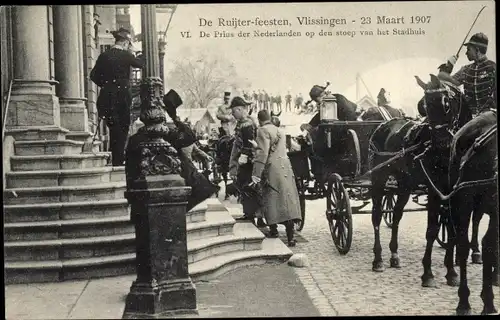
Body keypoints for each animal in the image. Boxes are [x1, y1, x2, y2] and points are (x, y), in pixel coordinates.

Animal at [368, 74, 468, 288]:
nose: (441, 142)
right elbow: (432, 229)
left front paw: (452, 272)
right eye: (425, 105)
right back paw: (378, 259)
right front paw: (428, 274)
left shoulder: (452, 191)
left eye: (446, 103)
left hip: (405, 185)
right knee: (377, 216)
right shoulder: (434, 189)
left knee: (396, 215)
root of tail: (383, 125)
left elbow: (451, 229)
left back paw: (394, 255)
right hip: (378, 179)